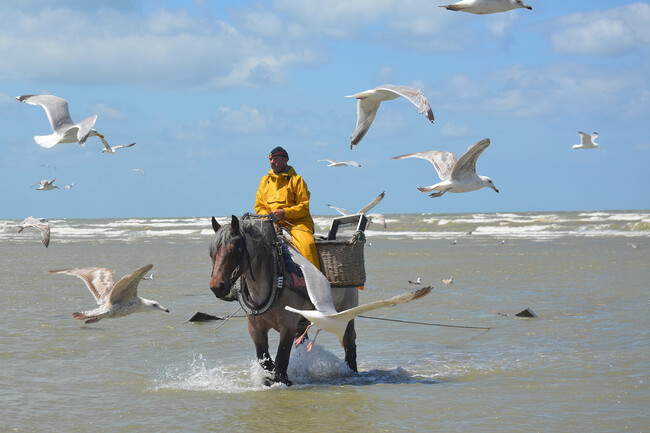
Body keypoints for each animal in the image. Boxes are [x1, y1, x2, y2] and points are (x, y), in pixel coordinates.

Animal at [209, 214, 359, 386]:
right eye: (212, 252)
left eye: (235, 249)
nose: (217, 286)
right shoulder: (255, 328)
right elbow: (264, 359)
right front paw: (271, 377)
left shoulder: (288, 325)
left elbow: (281, 358)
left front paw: (283, 380)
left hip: (346, 313)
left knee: (349, 342)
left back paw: (352, 370)